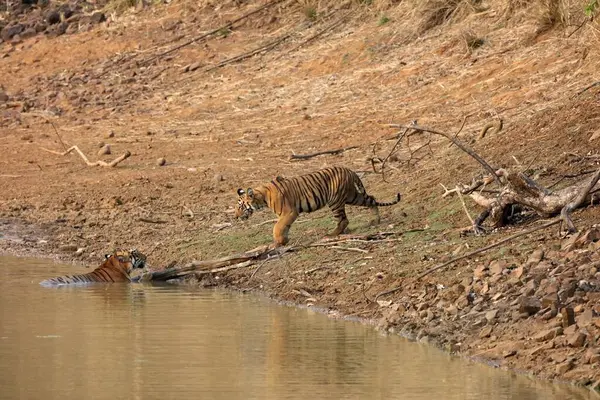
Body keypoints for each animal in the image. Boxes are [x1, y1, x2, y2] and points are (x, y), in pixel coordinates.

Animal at [233, 166, 398, 247]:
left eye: (241, 207)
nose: (235, 217)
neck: (262, 198)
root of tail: (349, 170)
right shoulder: (286, 215)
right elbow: (284, 227)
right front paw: (283, 241)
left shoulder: (289, 212)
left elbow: (277, 227)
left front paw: (279, 241)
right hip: (352, 196)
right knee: (372, 199)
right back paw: (375, 220)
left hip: (335, 201)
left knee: (343, 220)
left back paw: (331, 235)